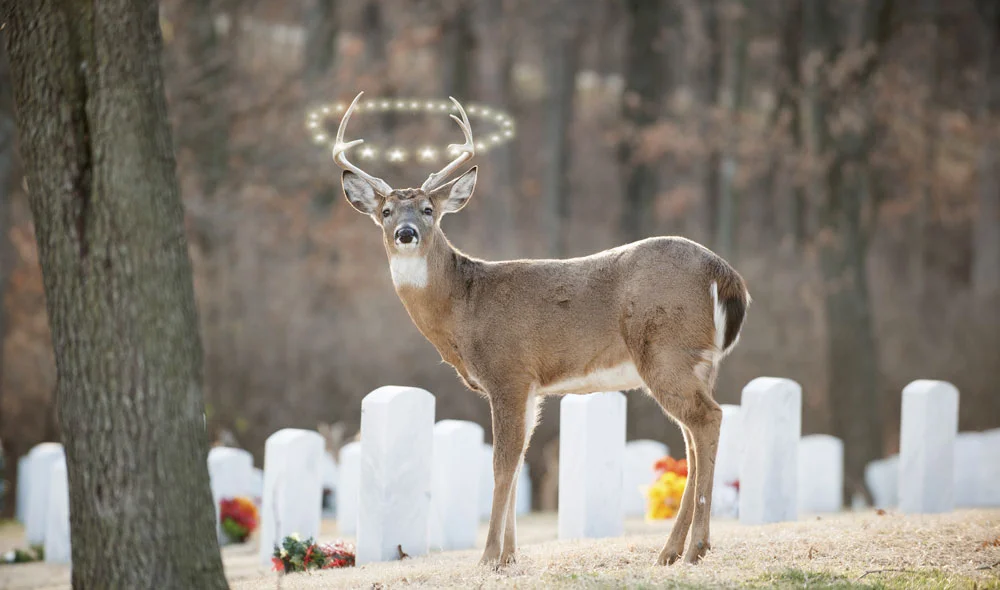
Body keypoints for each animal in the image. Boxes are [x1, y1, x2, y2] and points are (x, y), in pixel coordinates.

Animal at [332, 92, 750, 567]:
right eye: (385, 211)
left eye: (428, 210)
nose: (405, 233)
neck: (463, 307)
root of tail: (725, 274)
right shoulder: (531, 387)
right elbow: (519, 463)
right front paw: (510, 556)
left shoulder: (508, 372)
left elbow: (502, 464)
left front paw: (488, 557)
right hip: (697, 362)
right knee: (693, 438)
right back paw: (671, 550)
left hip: (668, 350)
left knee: (707, 420)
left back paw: (695, 547)